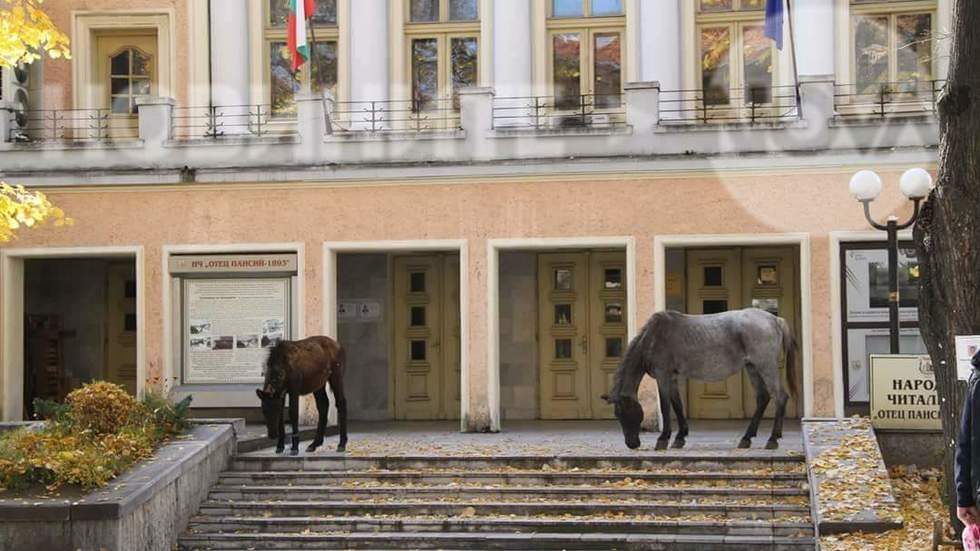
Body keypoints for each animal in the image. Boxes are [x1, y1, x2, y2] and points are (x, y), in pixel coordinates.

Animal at [604, 308, 796, 450]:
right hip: (753, 368)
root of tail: (775, 319)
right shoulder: (672, 378)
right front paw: (680, 438)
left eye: (624, 412)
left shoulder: (663, 375)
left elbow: (666, 407)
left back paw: (772, 439)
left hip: (765, 366)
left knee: (780, 396)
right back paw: (746, 438)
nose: (632, 444)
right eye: (617, 414)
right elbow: (677, 405)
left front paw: (663, 439)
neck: (653, 338)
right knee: (763, 398)